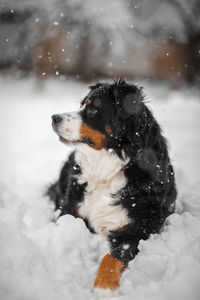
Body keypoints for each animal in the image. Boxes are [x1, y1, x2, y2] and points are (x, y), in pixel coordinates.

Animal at [47, 78, 177, 298]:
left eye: (93, 108)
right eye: (82, 104)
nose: (54, 118)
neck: (107, 171)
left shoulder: (135, 232)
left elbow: (111, 257)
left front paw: (104, 286)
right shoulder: (70, 211)